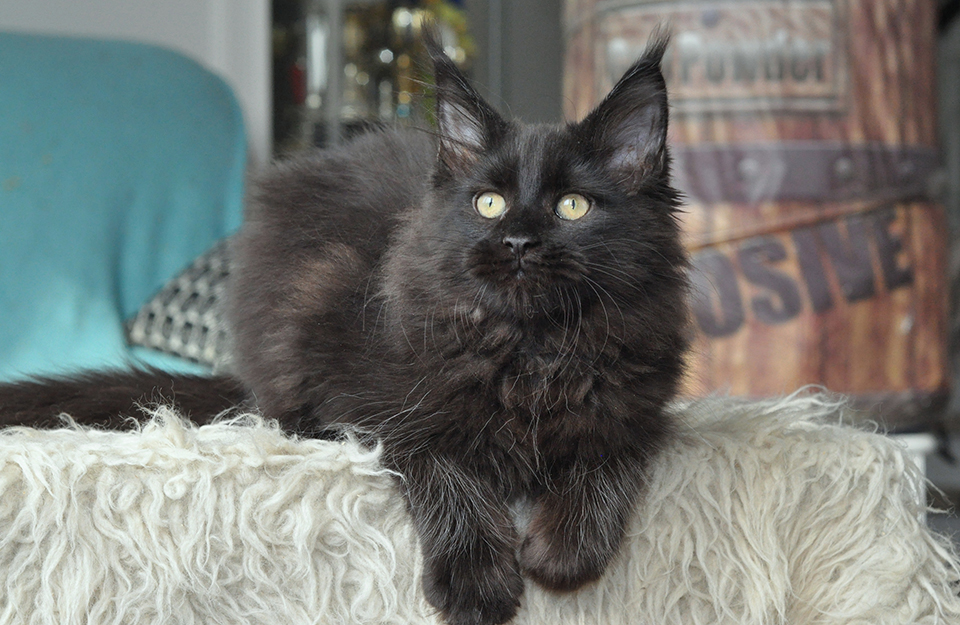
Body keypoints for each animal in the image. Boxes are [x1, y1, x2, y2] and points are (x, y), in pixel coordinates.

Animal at [0, 35, 688, 625]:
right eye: (487, 203)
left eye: (573, 206)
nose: (517, 242)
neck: (531, 348)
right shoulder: (370, 389)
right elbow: (442, 463)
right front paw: (477, 580)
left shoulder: (640, 400)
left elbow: (607, 455)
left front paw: (562, 550)